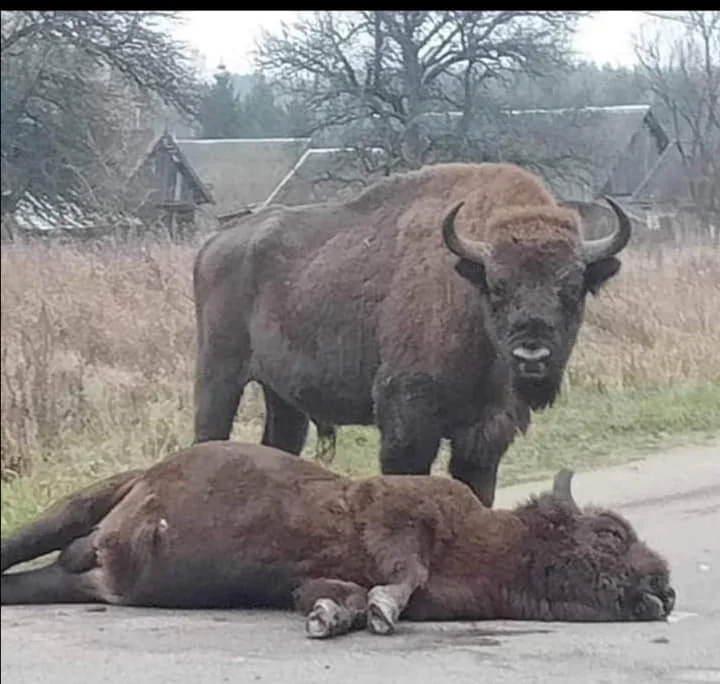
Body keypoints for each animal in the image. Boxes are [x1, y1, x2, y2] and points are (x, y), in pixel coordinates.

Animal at [1, 440, 676, 640]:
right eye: (610, 534)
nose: (665, 588)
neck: (495, 541)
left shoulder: (313, 576)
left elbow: (338, 591)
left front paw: (334, 617)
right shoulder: (401, 517)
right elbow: (405, 571)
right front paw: (379, 611)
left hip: (83, 579)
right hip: (78, 509)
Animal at [194, 163, 632, 508]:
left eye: (572, 289)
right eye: (497, 287)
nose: (532, 357)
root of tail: (213, 244)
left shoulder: (486, 432)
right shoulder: (407, 419)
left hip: (282, 398)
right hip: (219, 378)